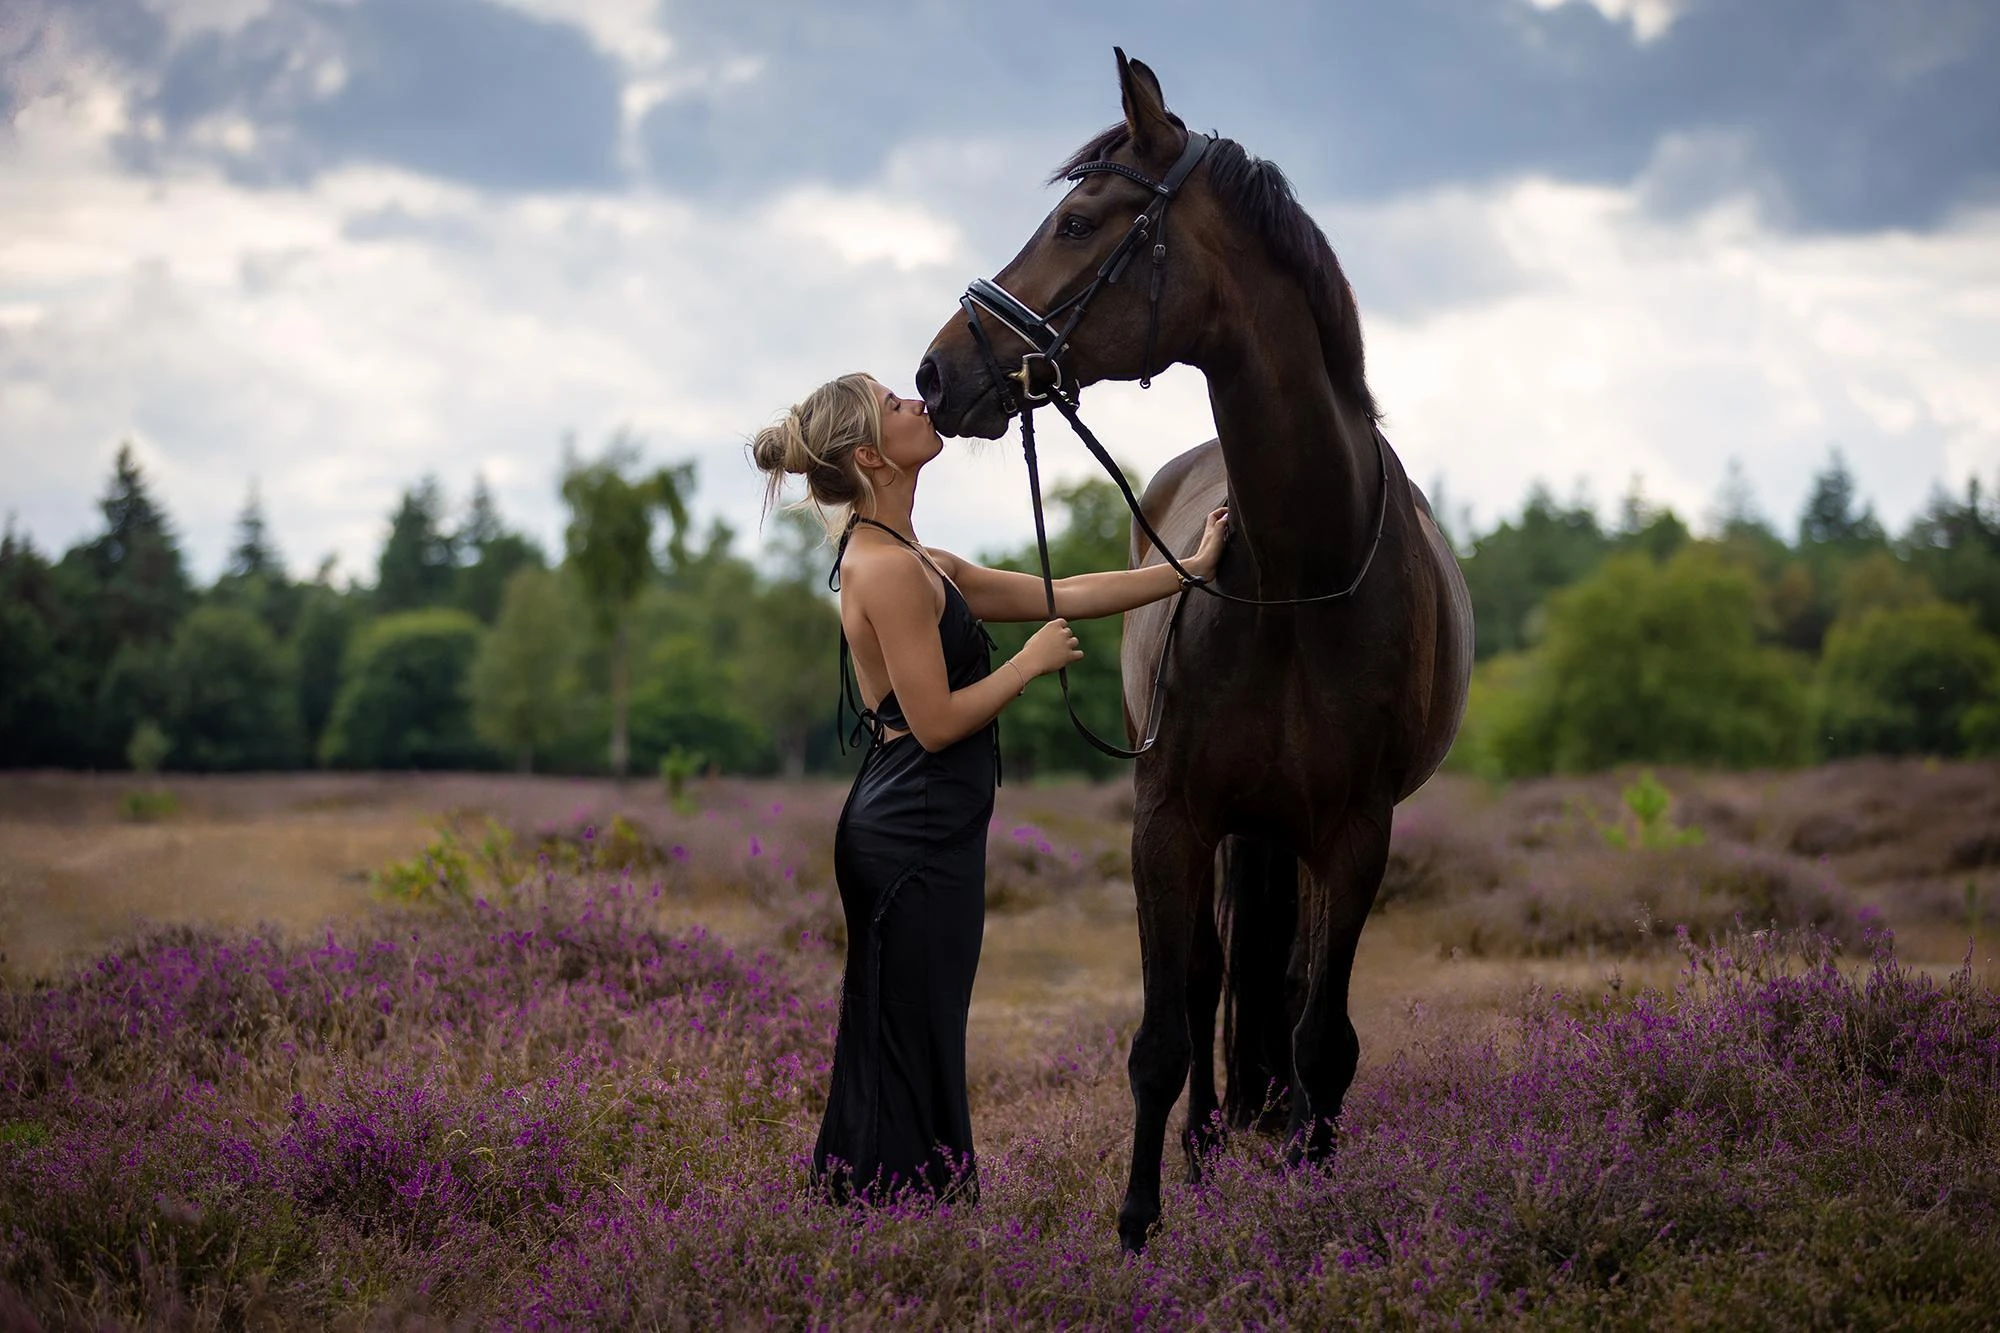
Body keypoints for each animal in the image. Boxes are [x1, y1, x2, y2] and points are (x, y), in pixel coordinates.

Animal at [918, 51, 1473, 1253]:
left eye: (1078, 220)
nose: (937, 373)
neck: (1294, 572)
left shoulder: (1357, 834)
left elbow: (1322, 1038)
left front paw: (1317, 1199)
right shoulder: (1167, 815)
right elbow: (1163, 1035)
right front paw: (1139, 1225)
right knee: (1217, 977)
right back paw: (1209, 1152)